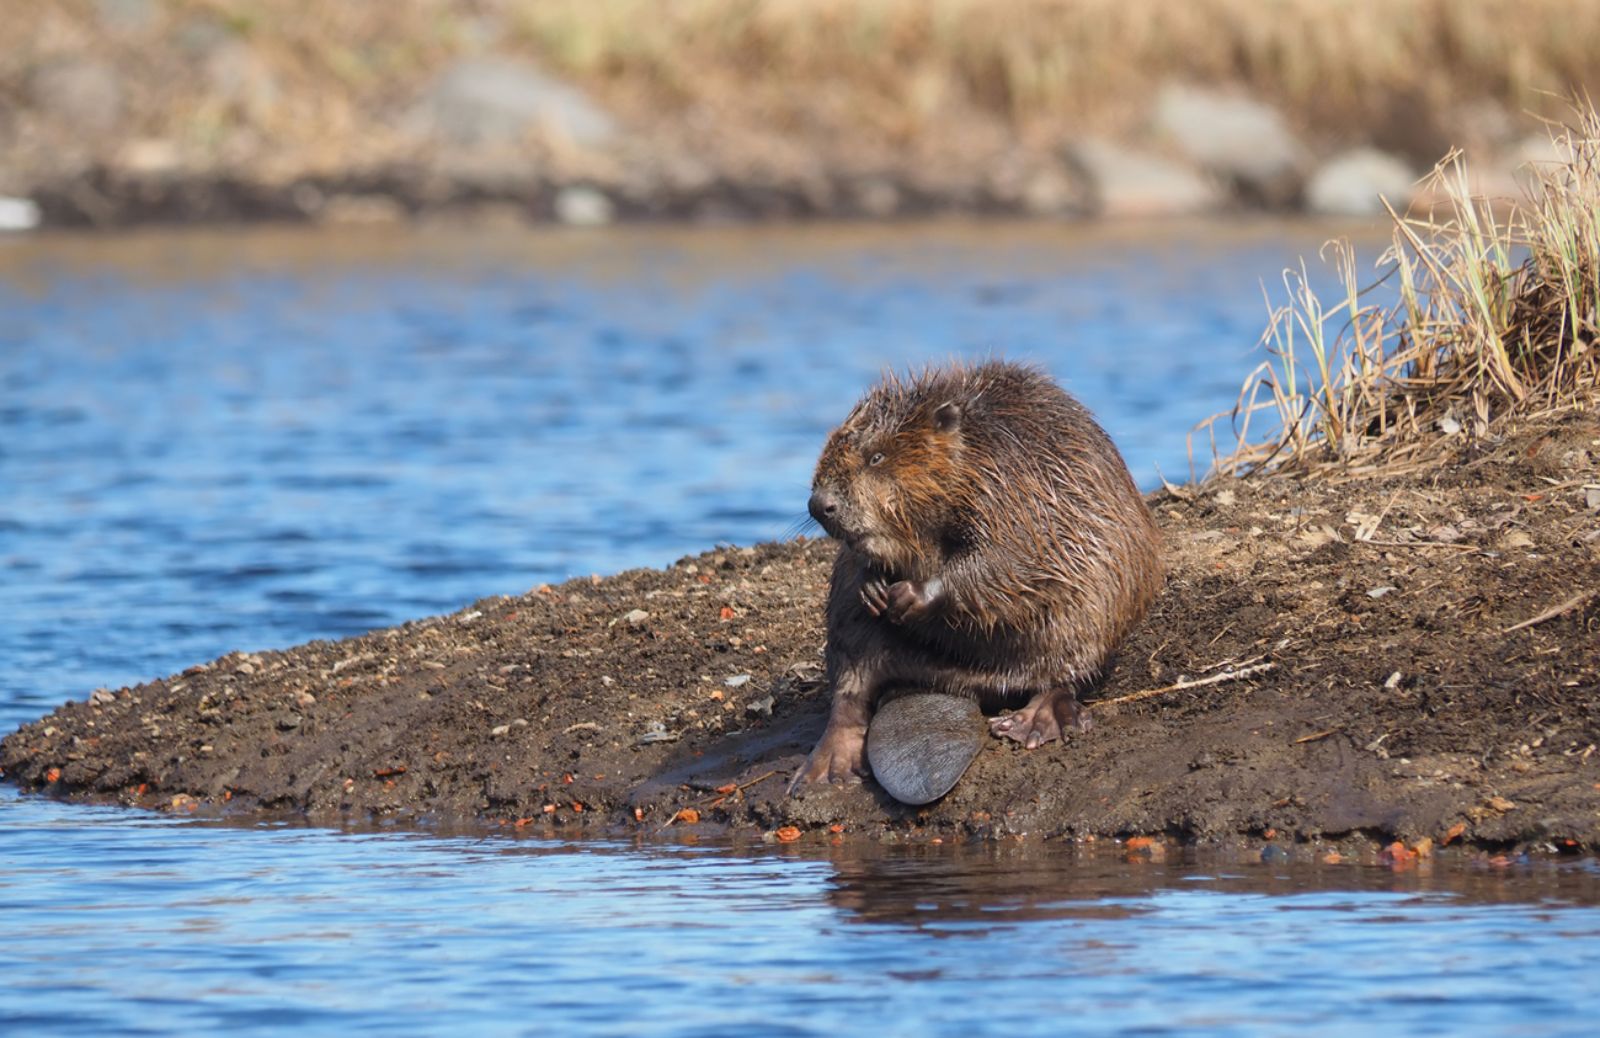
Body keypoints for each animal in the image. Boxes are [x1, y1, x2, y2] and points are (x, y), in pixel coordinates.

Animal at [787, 359, 1164, 796]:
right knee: (851, 687)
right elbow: (860, 558)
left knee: (1060, 677)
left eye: (877, 456)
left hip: (1088, 622)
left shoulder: (1012, 487)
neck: (971, 451)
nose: (820, 505)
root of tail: (945, 682)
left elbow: (1008, 558)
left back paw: (1029, 724)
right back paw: (828, 768)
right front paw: (874, 588)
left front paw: (907, 595)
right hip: (848, 626)